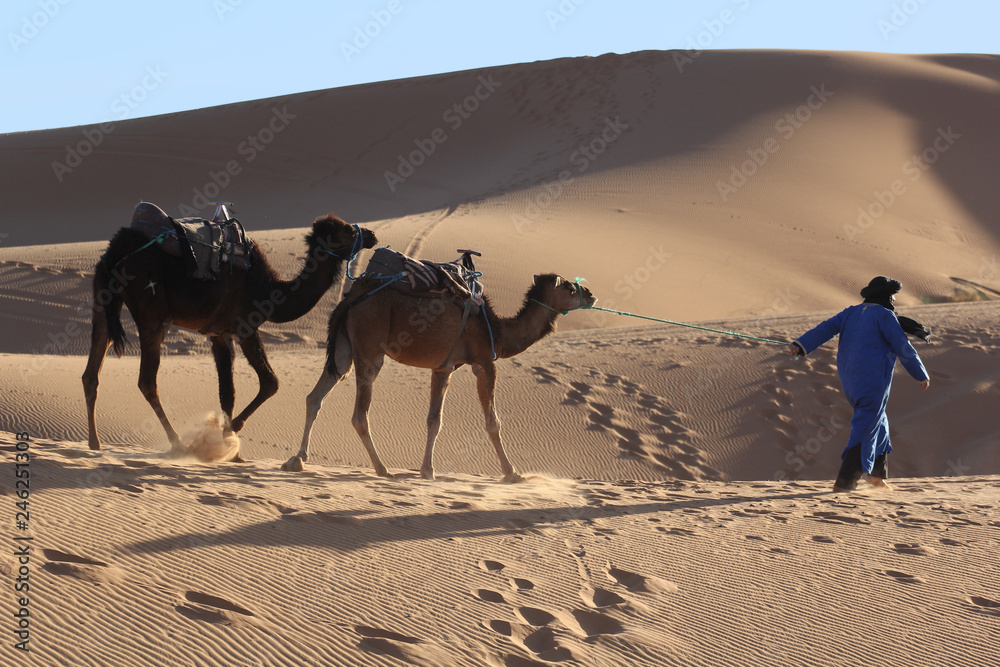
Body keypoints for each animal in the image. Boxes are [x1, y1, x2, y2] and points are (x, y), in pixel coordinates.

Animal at [82, 212, 377, 459]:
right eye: (348, 230)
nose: (372, 235)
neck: (269, 290)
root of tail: (114, 251)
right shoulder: (245, 327)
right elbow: (270, 383)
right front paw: (230, 433)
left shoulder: (219, 334)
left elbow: (227, 393)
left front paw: (232, 450)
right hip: (151, 315)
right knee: (146, 381)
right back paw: (178, 443)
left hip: (103, 302)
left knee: (91, 372)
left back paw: (94, 443)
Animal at [283, 273, 596, 481]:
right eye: (569, 287)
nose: (591, 295)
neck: (498, 331)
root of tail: (349, 300)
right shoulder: (484, 362)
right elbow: (493, 422)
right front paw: (512, 473)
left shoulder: (443, 368)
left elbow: (435, 420)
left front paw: (427, 471)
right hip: (370, 345)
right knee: (359, 414)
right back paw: (382, 469)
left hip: (343, 347)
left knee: (315, 396)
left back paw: (298, 459)